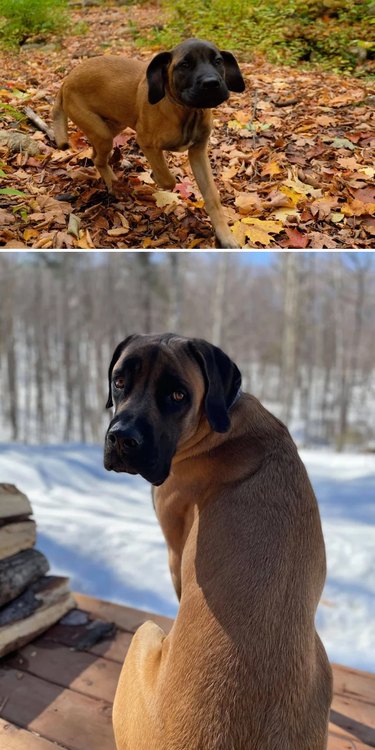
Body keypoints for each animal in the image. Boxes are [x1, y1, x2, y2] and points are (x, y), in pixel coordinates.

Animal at [53, 39, 247, 250]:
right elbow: (168, 179)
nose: (211, 83)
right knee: (99, 159)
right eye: (184, 65)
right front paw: (153, 178)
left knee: (95, 154)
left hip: (112, 125)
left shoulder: (198, 152)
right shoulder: (147, 143)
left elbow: (212, 197)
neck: (186, 112)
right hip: (102, 132)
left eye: (218, 61)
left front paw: (225, 236)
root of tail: (65, 82)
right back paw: (114, 184)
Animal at [104, 336, 334, 750]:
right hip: (320, 658)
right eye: (119, 381)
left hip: (143, 635)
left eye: (177, 395)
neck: (218, 422)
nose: (122, 438)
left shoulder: (174, 551)